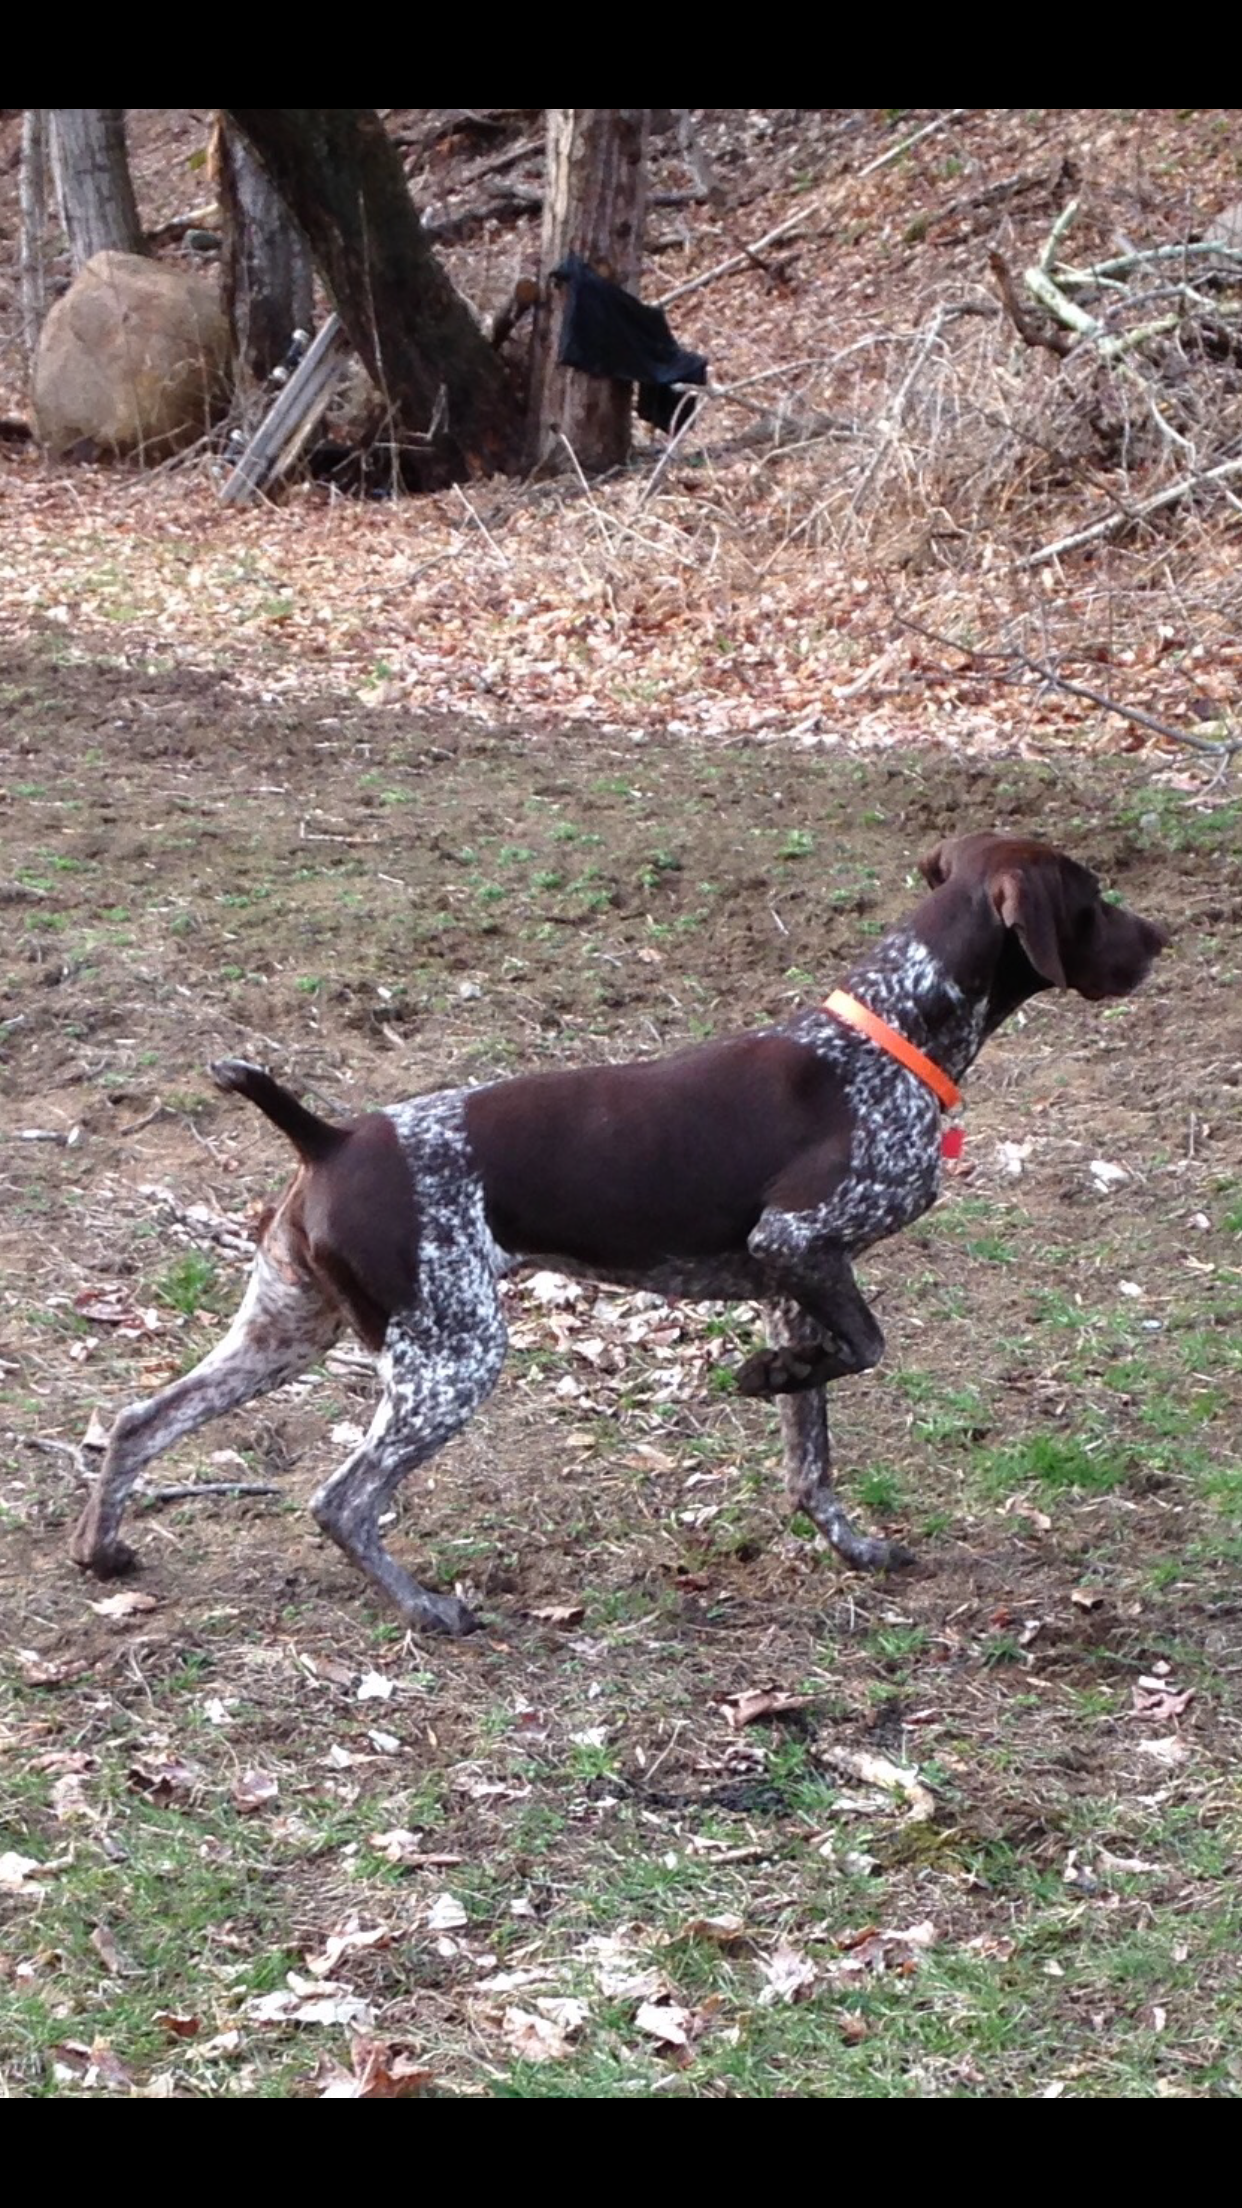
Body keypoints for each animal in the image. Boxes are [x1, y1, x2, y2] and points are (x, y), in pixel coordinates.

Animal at [72, 834, 1166, 1633]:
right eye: (1092, 897)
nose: (1158, 937)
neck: (889, 1036)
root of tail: (332, 1137)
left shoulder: (787, 1285)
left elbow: (811, 1450)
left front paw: (847, 1538)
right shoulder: (799, 1240)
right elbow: (866, 1347)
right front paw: (766, 1382)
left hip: (285, 1330)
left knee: (139, 1421)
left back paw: (103, 1547)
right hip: (451, 1356)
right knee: (342, 1498)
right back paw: (427, 1606)